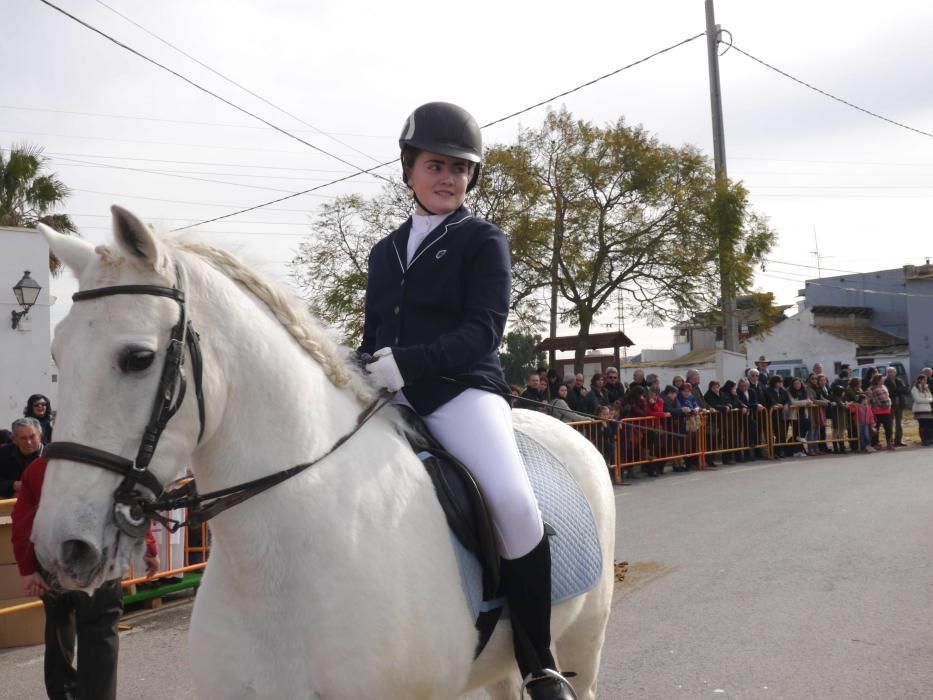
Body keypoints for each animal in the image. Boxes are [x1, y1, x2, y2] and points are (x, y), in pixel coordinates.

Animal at [32, 209, 616, 700]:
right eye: (56, 355)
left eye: (138, 358)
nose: (62, 548)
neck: (273, 560)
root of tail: (565, 425)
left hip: (584, 642)